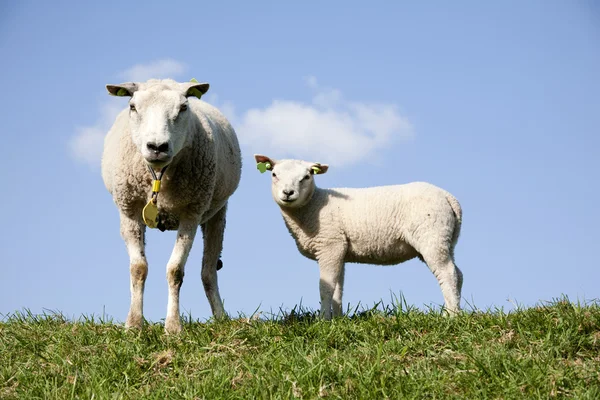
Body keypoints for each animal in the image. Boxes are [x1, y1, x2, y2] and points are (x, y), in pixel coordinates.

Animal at [102, 79, 240, 334]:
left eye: (183, 107)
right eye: (133, 106)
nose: (157, 146)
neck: (158, 177)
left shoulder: (191, 214)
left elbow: (175, 270)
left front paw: (173, 327)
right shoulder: (129, 212)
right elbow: (138, 268)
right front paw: (133, 324)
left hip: (217, 212)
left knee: (208, 271)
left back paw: (221, 317)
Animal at [253, 155, 464, 320]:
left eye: (306, 177)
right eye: (274, 175)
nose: (288, 193)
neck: (313, 205)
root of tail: (449, 197)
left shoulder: (330, 245)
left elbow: (326, 288)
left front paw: (322, 320)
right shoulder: (339, 250)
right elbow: (338, 289)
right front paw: (337, 320)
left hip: (431, 235)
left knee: (447, 273)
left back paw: (451, 316)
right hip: (446, 239)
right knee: (458, 274)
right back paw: (454, 311)